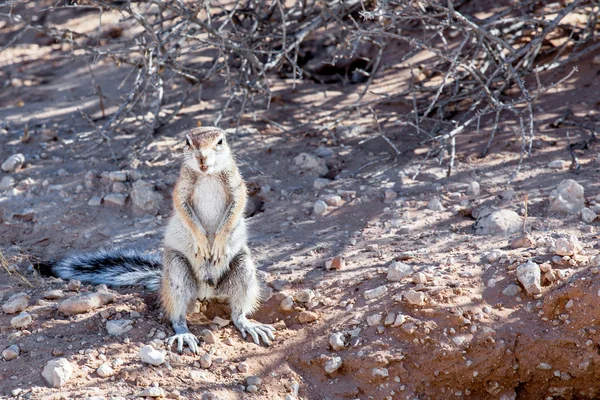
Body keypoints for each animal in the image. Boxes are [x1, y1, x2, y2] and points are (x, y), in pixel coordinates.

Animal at [50, 126, 276, 352]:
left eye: (220, 141)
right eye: (188, 142)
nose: (201, 157)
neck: (207, 175)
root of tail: (206, 291)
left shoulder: (236, 186)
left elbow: (236, 208)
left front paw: (218, 243)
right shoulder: (181, 190)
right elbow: (184, 211)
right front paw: (203, 243)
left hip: (243, 268)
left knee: (238, 312)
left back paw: (248, 325)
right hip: (177, 271)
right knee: (177, 316)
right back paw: (184, 334)